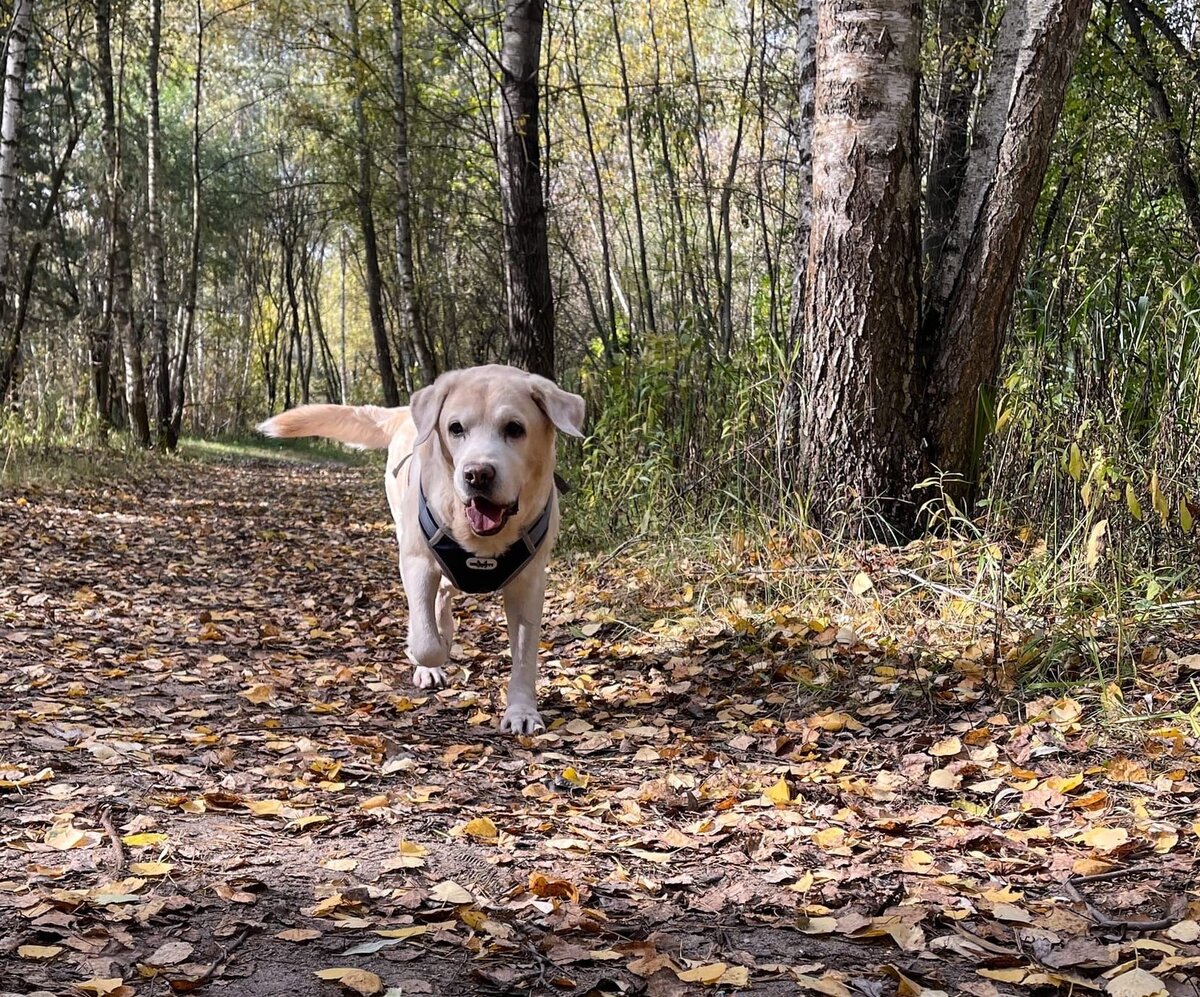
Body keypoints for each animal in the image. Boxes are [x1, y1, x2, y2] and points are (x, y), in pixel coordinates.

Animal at [259, 367, 585, 734]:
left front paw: (522, 712)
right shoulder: (417, 563)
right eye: (456, 428)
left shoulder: (528, 583)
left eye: (515, 428)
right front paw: (430, 653)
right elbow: (426, 642)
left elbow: (525, 656)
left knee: (444, 593)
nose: (477, 474)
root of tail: (405, 411)